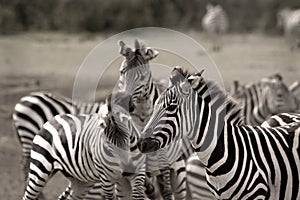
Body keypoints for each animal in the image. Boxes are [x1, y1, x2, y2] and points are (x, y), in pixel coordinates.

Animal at [117, 39, 192, 199]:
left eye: (142, 77)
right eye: (122, 72)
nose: (123, 102)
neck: (142, 116)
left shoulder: (162, 155)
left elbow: (166, 190)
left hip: (178, 173)